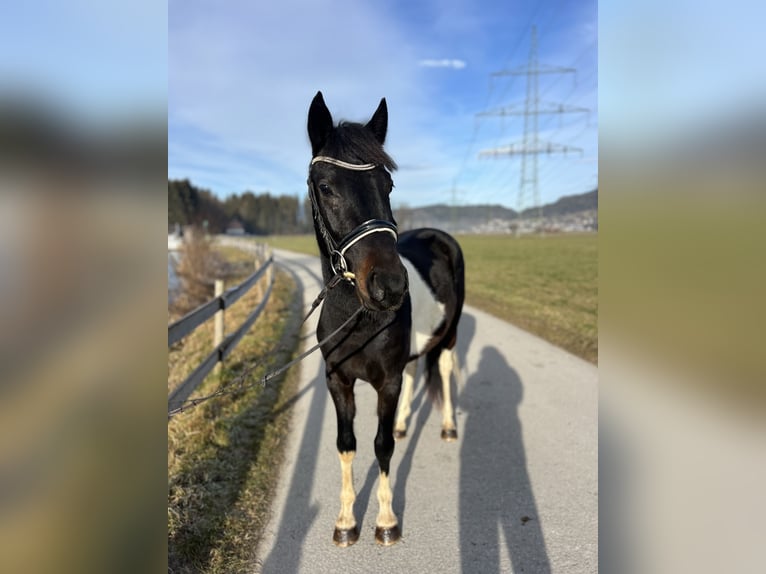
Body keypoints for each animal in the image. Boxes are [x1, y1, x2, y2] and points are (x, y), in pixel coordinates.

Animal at [304, 92, 462, 548]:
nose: (390, 287)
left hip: (451, 332)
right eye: (326, 187)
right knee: (414, 372)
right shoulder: (338, 381)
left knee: (445, 368)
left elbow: (382, 445)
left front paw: (387, 521)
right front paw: (345, 523)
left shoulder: (386, 382)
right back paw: (408, 423)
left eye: (387, 185)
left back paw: (448, 427)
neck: (356, 319)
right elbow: (347, 444)